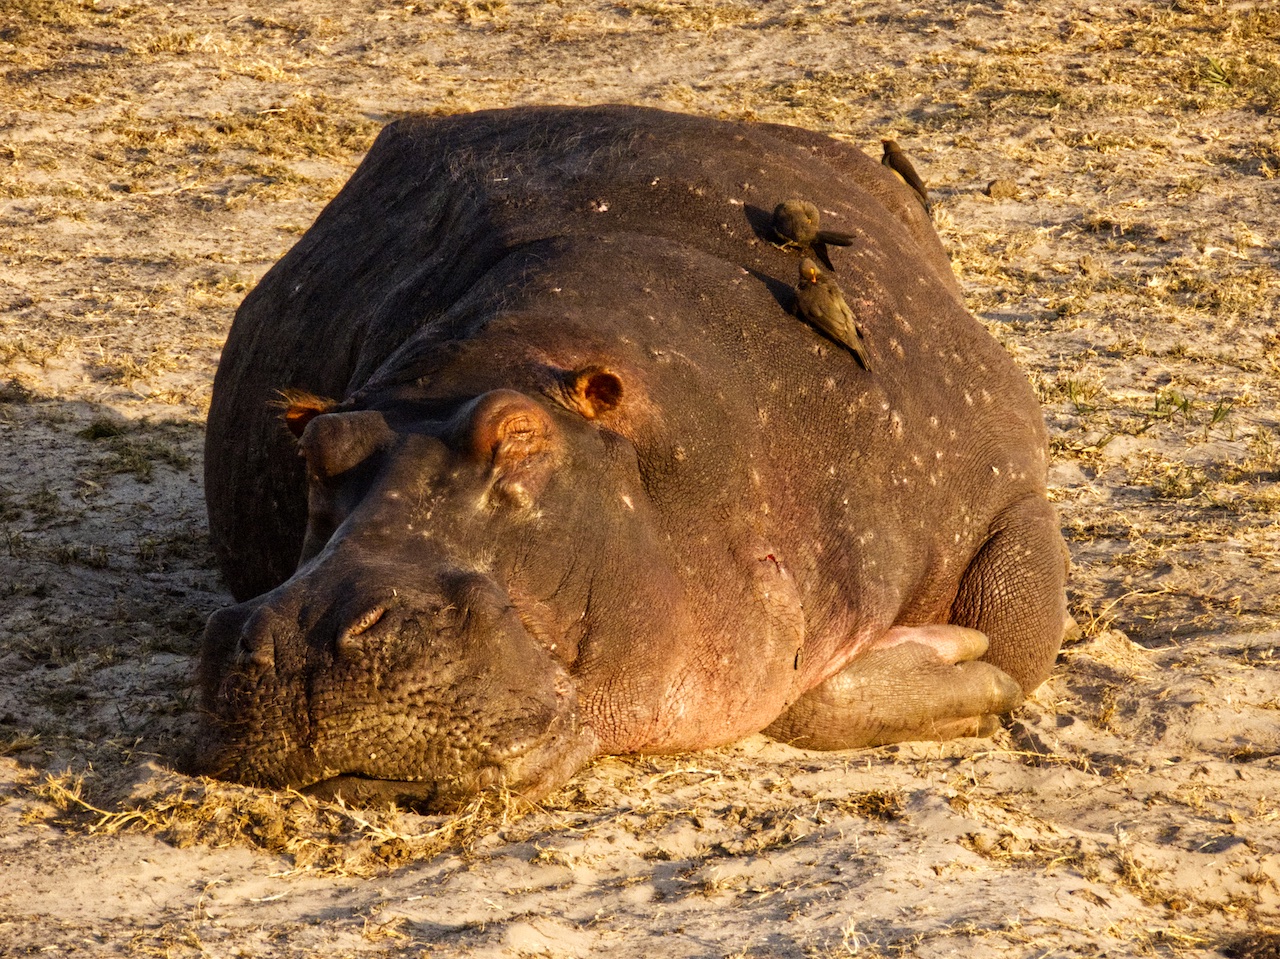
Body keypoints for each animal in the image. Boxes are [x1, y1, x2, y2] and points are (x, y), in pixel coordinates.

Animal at [197, 104, 1070, 809]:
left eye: (518, 434)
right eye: (317, 446)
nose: (309, 635)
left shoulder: (1000, 486)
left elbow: (1009, 639)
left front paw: (975, 666)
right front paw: (959, 664)